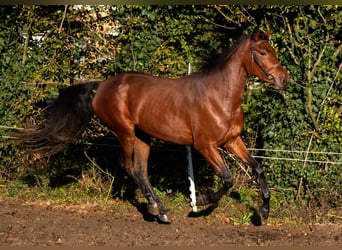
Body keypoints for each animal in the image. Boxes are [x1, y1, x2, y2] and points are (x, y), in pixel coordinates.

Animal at [18, 27, 288, 223]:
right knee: (129, 167)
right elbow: (228, 178)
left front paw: (263, 212)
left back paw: (159, 209)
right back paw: (158, 210)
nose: (284, 80)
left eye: (272, 50)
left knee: (140, 171)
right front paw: (200, 201)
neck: (220, 96)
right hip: (124, 132)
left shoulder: (232, 140)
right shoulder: (205, 145)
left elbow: (257, 168)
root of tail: (102, 86)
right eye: (263, 53)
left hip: (142, 136)